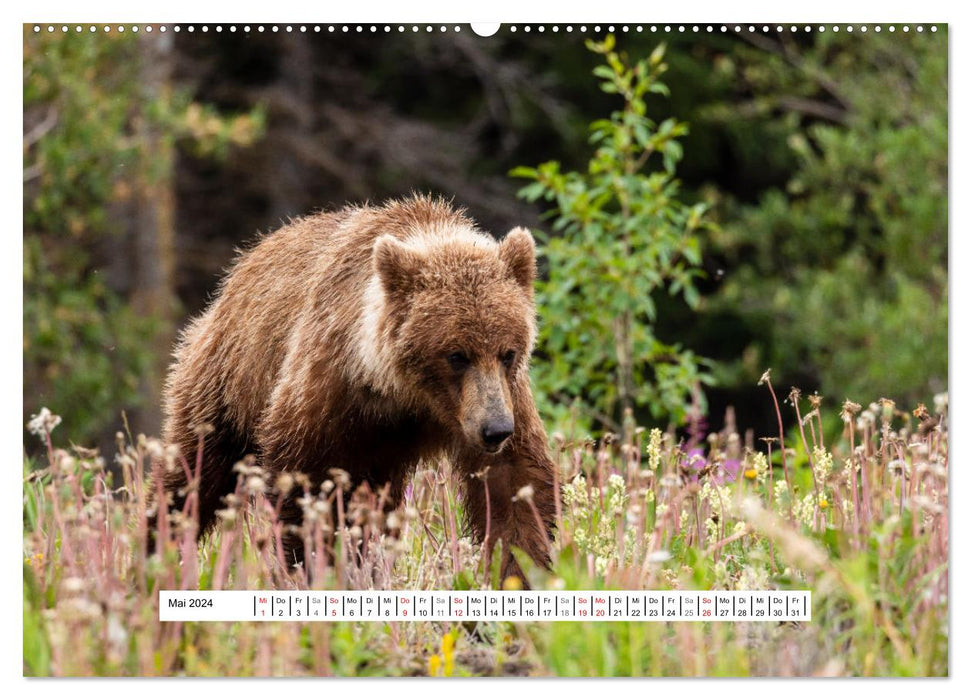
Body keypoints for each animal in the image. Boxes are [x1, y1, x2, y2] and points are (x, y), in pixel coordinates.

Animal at [153, 194, 560, 584]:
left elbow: (515, 484)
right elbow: (306, 483)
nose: (495, 430)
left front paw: (521, 570)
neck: (403, 394)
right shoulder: (328, 390)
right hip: (225, 380)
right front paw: (313, 566)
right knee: (194, 473)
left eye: (508, 352)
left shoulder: (502, 398)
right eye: (457, 355)